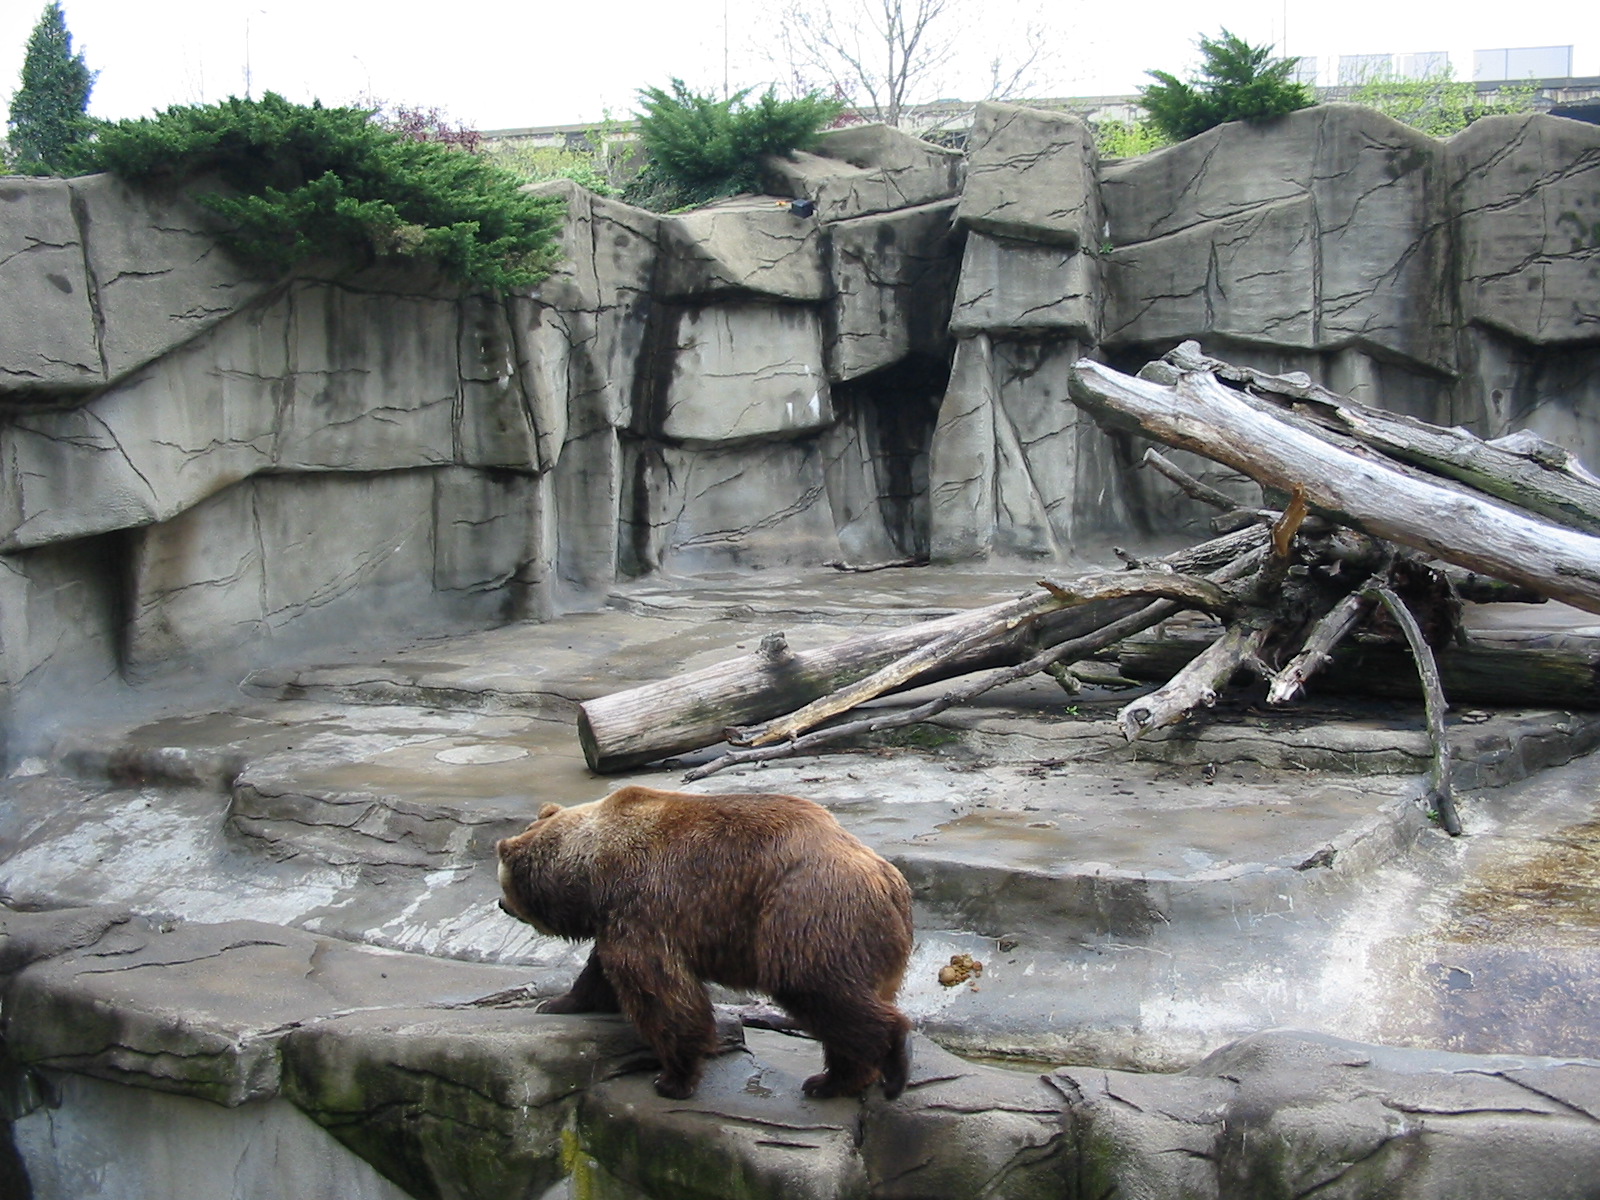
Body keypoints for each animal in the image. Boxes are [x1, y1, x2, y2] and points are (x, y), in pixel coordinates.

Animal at [495, 785, 914, 1101]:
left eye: (503, 881)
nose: (501, 904)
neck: (597, 869)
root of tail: (888, 879)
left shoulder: (647, 901)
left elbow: (660, 989)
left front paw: (672, 1078)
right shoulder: (618, 915)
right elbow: (599, 970)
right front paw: (558, 1003)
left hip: (806, 912)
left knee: (817, 989)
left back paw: (884, 1067)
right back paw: (836, 1081)